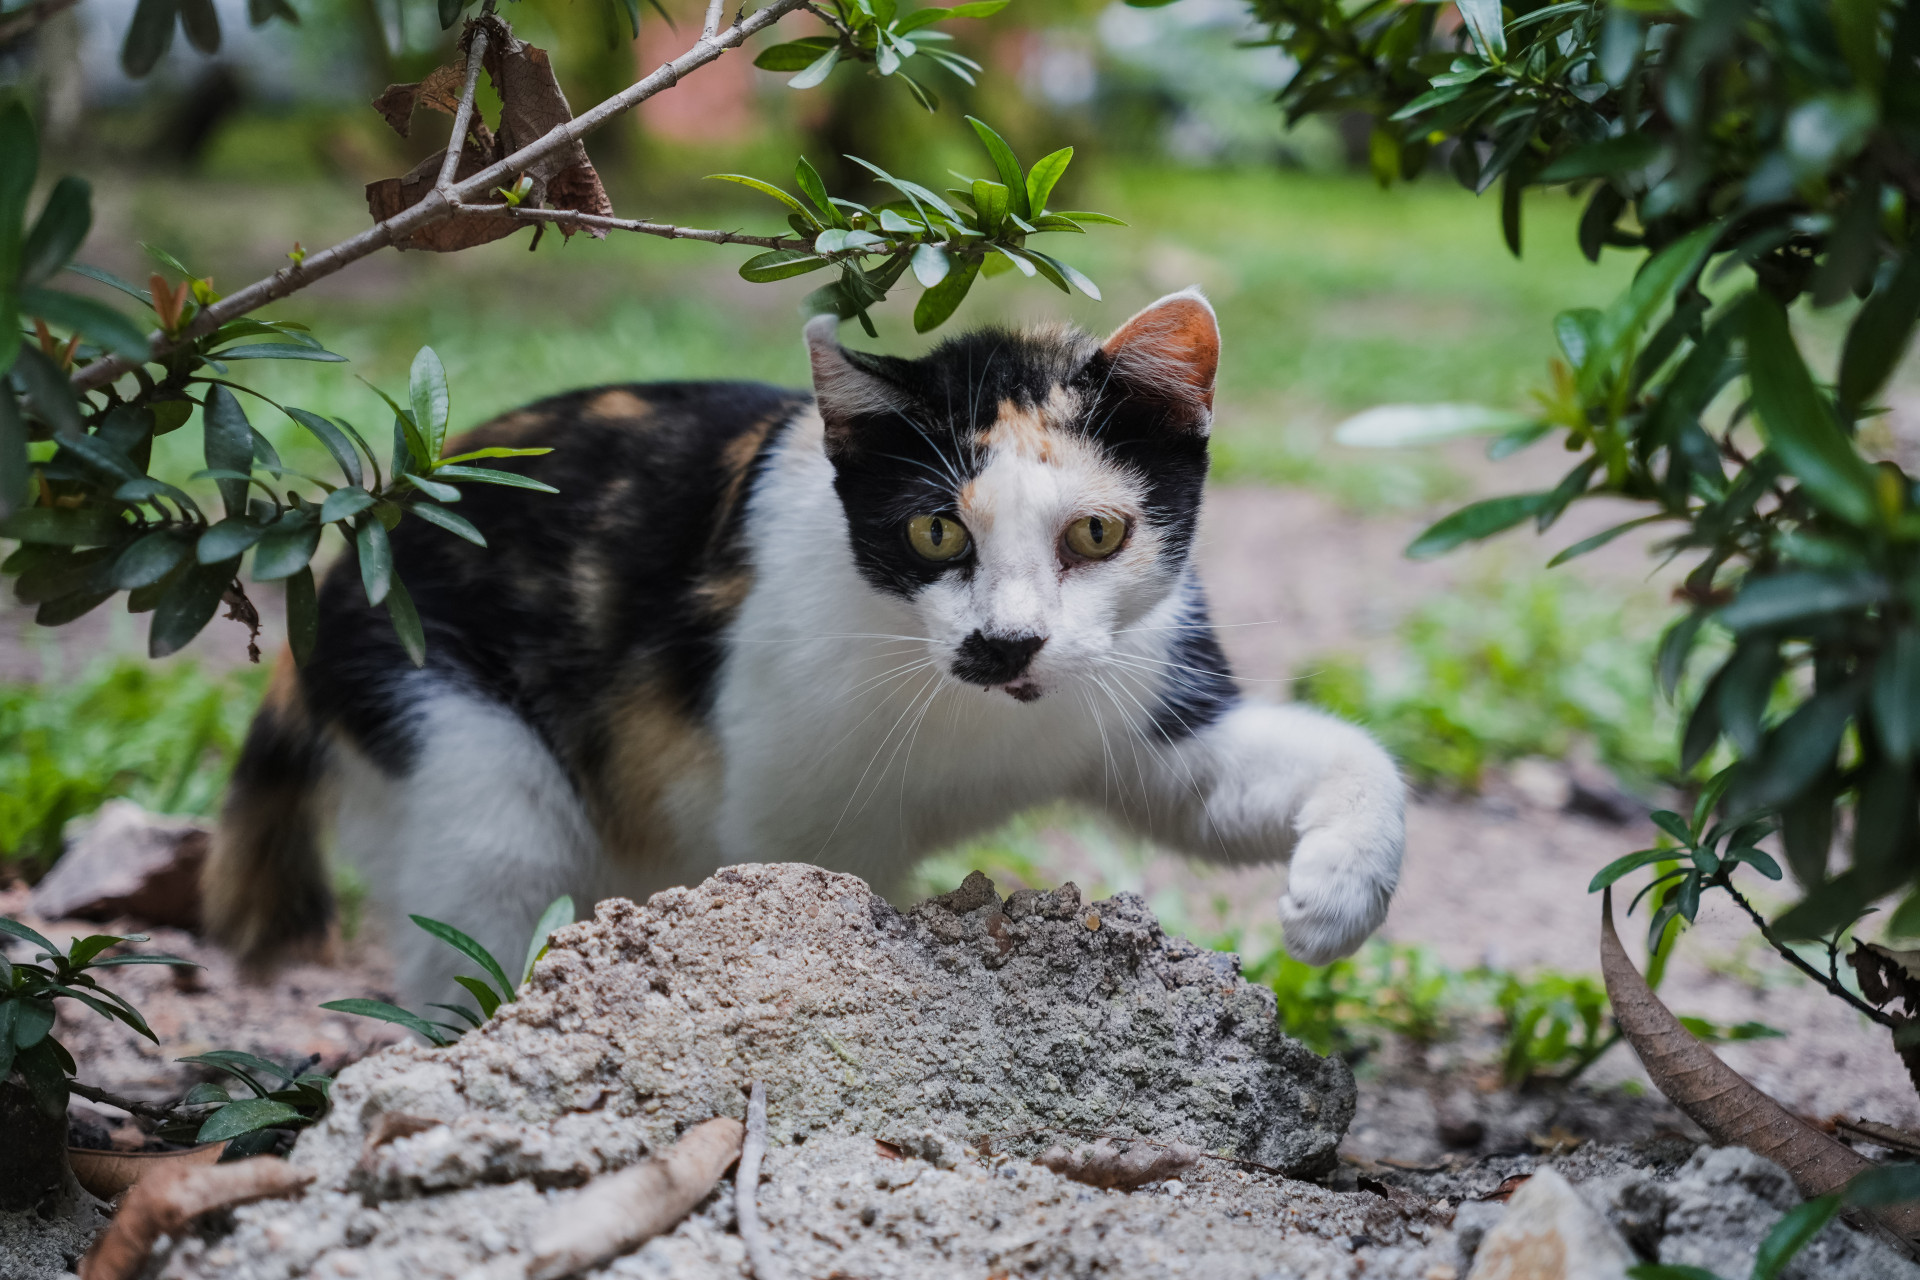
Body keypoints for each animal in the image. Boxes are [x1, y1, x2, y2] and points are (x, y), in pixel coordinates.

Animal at [210, 289, 1405, 997]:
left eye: (1097, 534)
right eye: (935, 531)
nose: (1009, 643)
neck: (975, 716)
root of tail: (345, 552)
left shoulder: (1148, 696)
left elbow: (1318, 768)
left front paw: (1338, 897)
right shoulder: (792, 806)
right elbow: (808, 910)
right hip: (448, 730)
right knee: (490, 882)